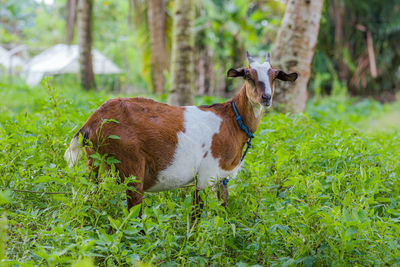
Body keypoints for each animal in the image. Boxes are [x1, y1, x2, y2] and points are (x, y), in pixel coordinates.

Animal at [65, 52, 296, 222]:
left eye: (274, 76)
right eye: (248, 75)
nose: (266, 98)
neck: (231, 120)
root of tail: (92, 122)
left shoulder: (222, 177)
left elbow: (224, 209)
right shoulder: (206, 174)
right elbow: (196, 214)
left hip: (94, 164)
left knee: (91, 196)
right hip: (131, 167)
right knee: (133, 215)